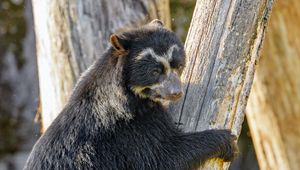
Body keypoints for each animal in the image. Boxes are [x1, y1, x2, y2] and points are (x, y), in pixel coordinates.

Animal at [23, 19, 238, 169]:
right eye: (155, 71)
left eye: (178, 65)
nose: (176, 93)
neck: (130, 96)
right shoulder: (129, 131)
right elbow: (163, 157)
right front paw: (228, 142)